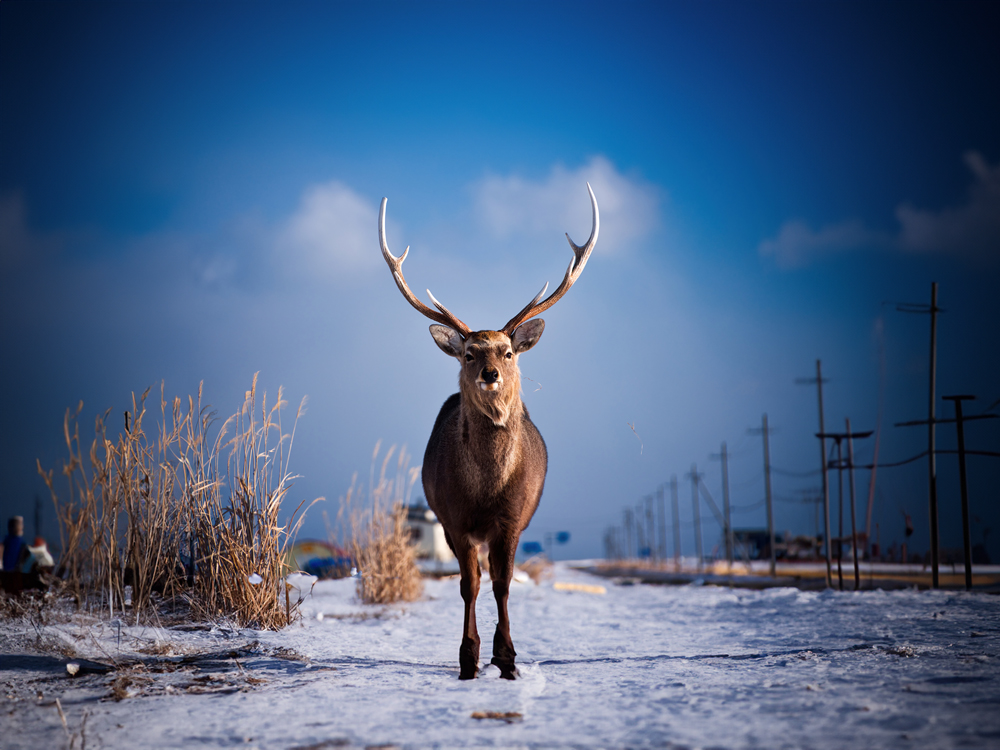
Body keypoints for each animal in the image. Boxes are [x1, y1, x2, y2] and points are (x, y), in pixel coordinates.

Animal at [374, 184, 592, 680]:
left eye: (508, 351)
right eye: (469, 353)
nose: (490, 373)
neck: (486, 489)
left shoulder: (511, 519)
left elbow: (503, 583)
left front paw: (507, 656)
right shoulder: (453, 519)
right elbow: (469, 585)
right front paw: (468, 657)